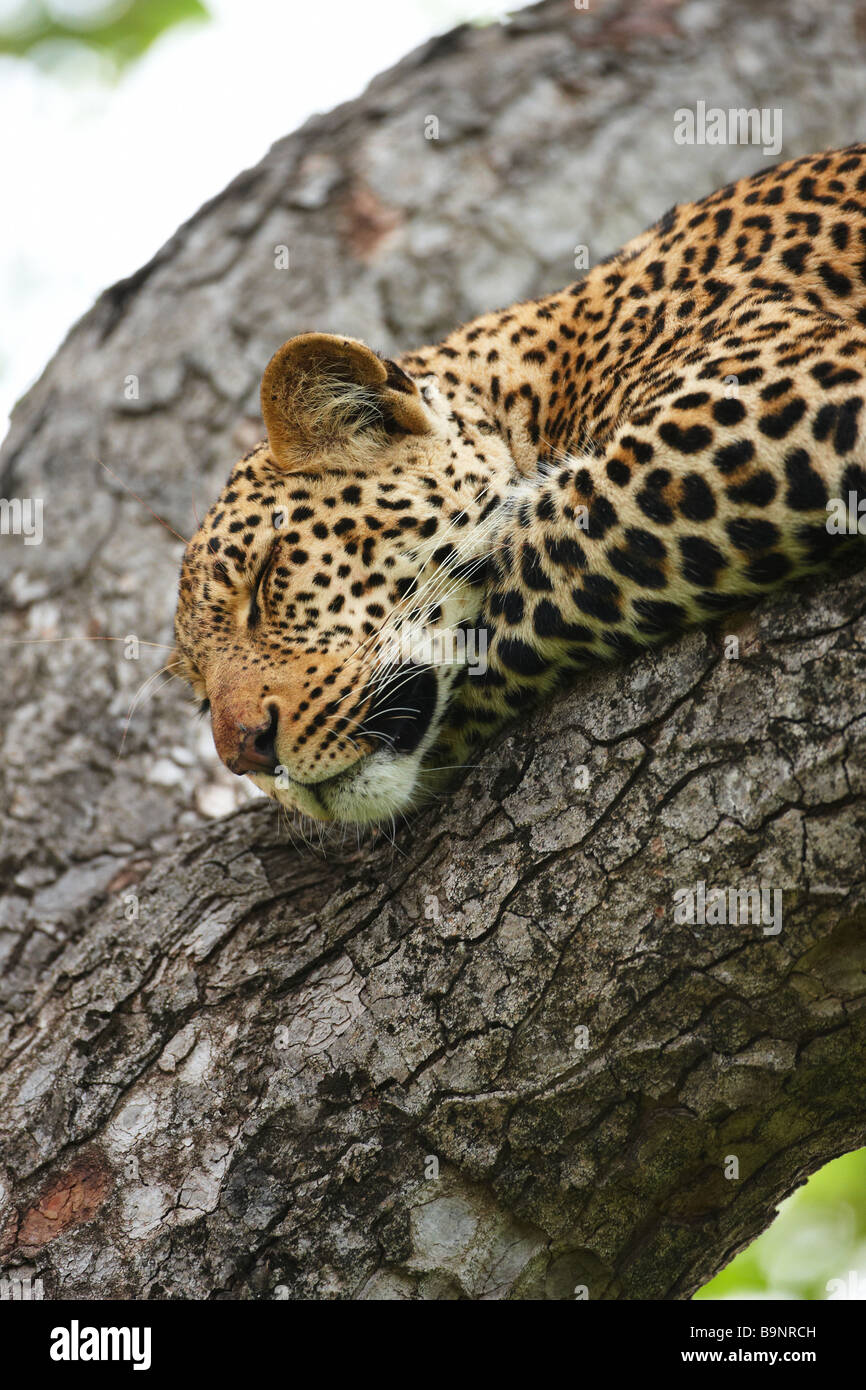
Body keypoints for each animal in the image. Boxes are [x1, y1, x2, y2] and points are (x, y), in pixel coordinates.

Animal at [176, 143, 866, 822]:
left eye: (267, 577)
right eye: (200, 693)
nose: (247, 754)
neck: (538, 382)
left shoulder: (777, 392)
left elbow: (536, 559)